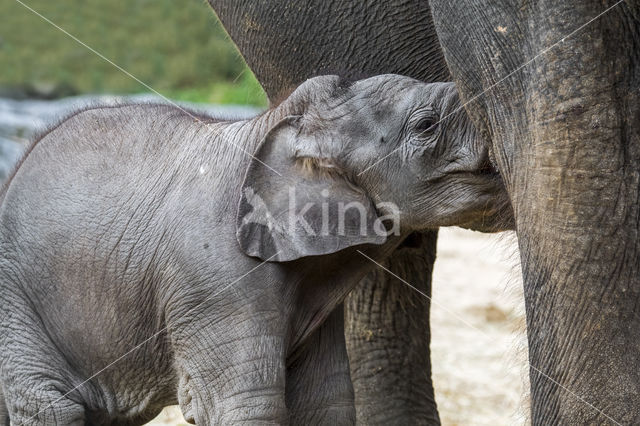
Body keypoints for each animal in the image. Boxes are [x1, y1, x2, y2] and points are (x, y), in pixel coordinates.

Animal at [0, 75, 510, 424]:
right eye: (426, 125)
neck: (276, 125)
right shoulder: (215, 281)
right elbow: (249, 406)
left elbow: (326, 404)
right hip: (16, 305)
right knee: (50, 407)